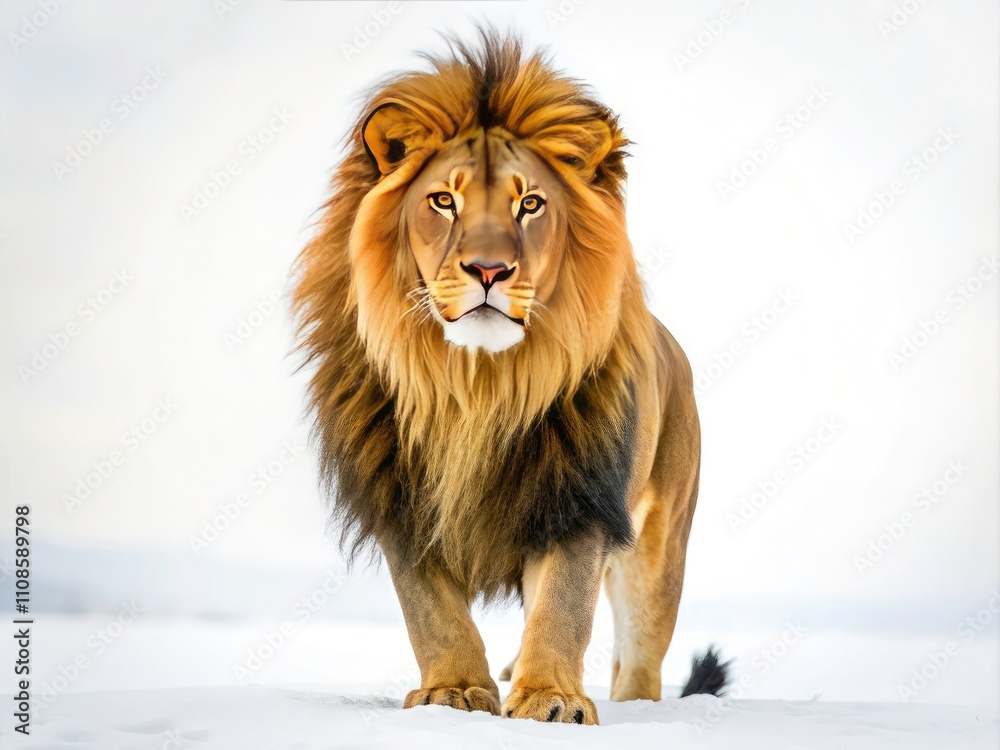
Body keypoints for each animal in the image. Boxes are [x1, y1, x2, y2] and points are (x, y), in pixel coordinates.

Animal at [293, 30, 727, 725]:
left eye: (531, 204)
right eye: (444, 200)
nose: (490, 270)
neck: (477, 385)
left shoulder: (578, 498)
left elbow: (563, 608)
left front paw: (553, 700)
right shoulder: (400, 500)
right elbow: (432, 613)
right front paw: (452, 693)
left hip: (658, 552)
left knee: (639, 661)